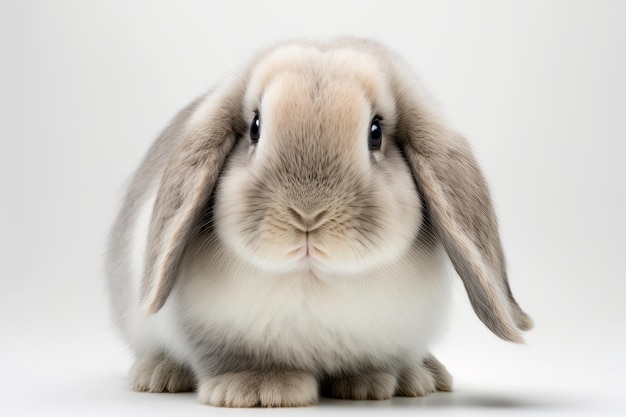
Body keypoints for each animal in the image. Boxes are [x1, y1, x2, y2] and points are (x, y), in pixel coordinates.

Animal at [103, 38, 532, 406]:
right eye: (255, 127)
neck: (311, 279)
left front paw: (374, 384)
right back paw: (159, 375)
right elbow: (229, 359)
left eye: (376, 132)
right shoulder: (210, 332)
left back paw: (423, 376)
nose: (308, 215)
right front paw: (259, 389)